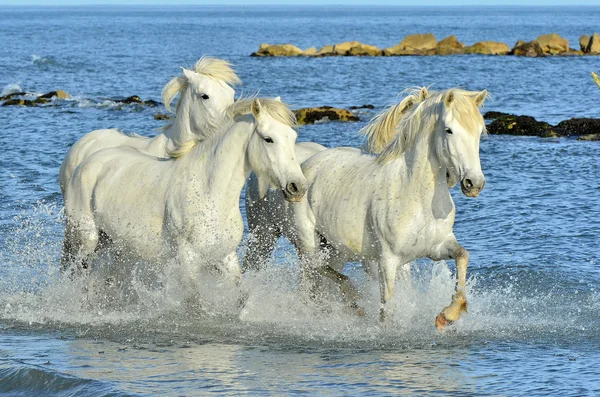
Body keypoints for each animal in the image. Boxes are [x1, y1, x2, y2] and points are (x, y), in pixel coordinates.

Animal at [61, 97, 308, 286]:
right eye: (268, 139)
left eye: (293, 138)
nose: (298, 187)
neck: (209, 193)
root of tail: (85, 163)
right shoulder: (188, 259)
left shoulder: (225, 255)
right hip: (86, 240)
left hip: (113, 244)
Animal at [288, 88, 490, 330]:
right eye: (449, 130)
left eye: (479, 132)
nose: (474, 183)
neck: (417, 197)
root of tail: (307, 165)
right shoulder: (388, 260)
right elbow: (387, 309)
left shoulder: (437, 247)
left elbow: (462, 255)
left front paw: (448, 314)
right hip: (309, 242)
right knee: (316, 267)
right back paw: (352, 299)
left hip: (336, 248)